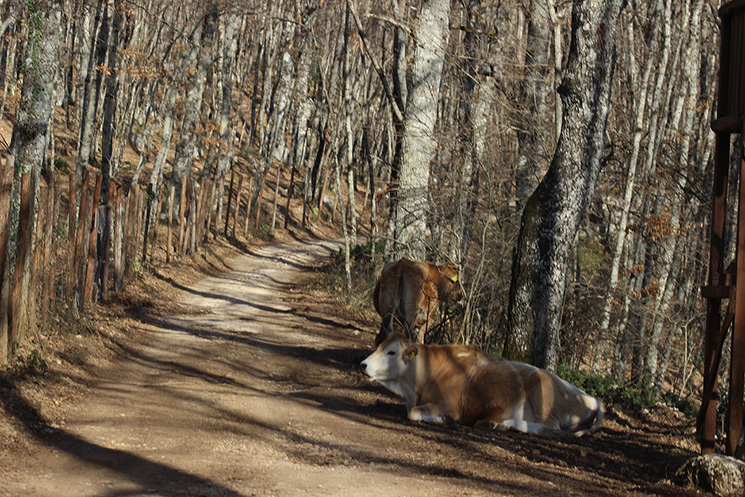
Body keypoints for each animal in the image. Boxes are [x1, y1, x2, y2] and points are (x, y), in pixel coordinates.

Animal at [360, 334, 604, 434]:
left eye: (391, 352)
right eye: (379, 346)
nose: (363, 364)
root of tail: (592, 398)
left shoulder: (449, 405)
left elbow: (414, 414)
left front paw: (443, 420)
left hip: (541, 387)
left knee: (548, 427)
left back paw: (505, 423)